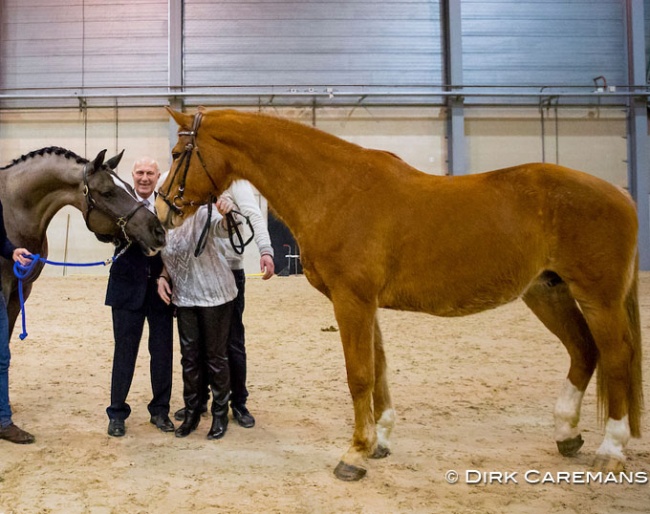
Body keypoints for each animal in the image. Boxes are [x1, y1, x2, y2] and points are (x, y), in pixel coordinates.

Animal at [156, 108, 636, 480]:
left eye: (179, 155)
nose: (162, 209)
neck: (334, 189)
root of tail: (620, 194)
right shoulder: (365, 305)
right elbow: (380, 371)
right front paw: (379, 441)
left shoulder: (352, 302)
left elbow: (360, 375)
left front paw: (354, 453)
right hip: (547, 293)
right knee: (583, 350)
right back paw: (567, 435)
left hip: (599, 299)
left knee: (615, 359)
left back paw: (611, 450)